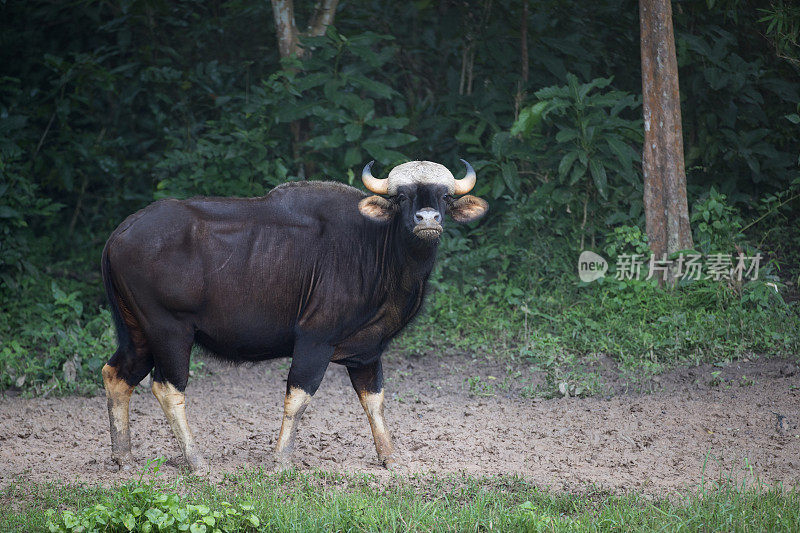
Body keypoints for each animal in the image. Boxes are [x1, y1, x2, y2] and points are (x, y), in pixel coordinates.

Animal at [100, 158, 488, 470]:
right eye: (401, 198)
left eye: (445, 197)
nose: (427, 219)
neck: (376, 249)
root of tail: (119, 234)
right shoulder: (315, 339)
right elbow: (299, 396)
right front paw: (281, 459)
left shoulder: (367, 350)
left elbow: (374, 400)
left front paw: (388, 456)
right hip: (170, 331)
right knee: (167, 387)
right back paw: (196, 460)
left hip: (138, 331)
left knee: (117, 374)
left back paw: (123, 456)